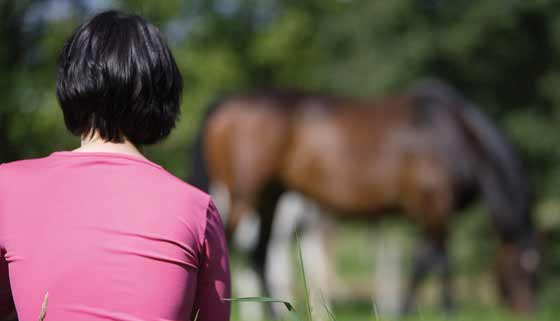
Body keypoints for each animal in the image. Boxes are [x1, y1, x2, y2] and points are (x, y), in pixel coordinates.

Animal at [190, 79, 540, 314]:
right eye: (523, 270)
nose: (527, 311)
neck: (453, 137)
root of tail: (226, 103)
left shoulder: (431, 215)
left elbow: (429, 262)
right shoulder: (434, 209)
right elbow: (433, 263)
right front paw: (435, 311)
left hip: (270, 197)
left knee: (259, 257)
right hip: (245, 195)